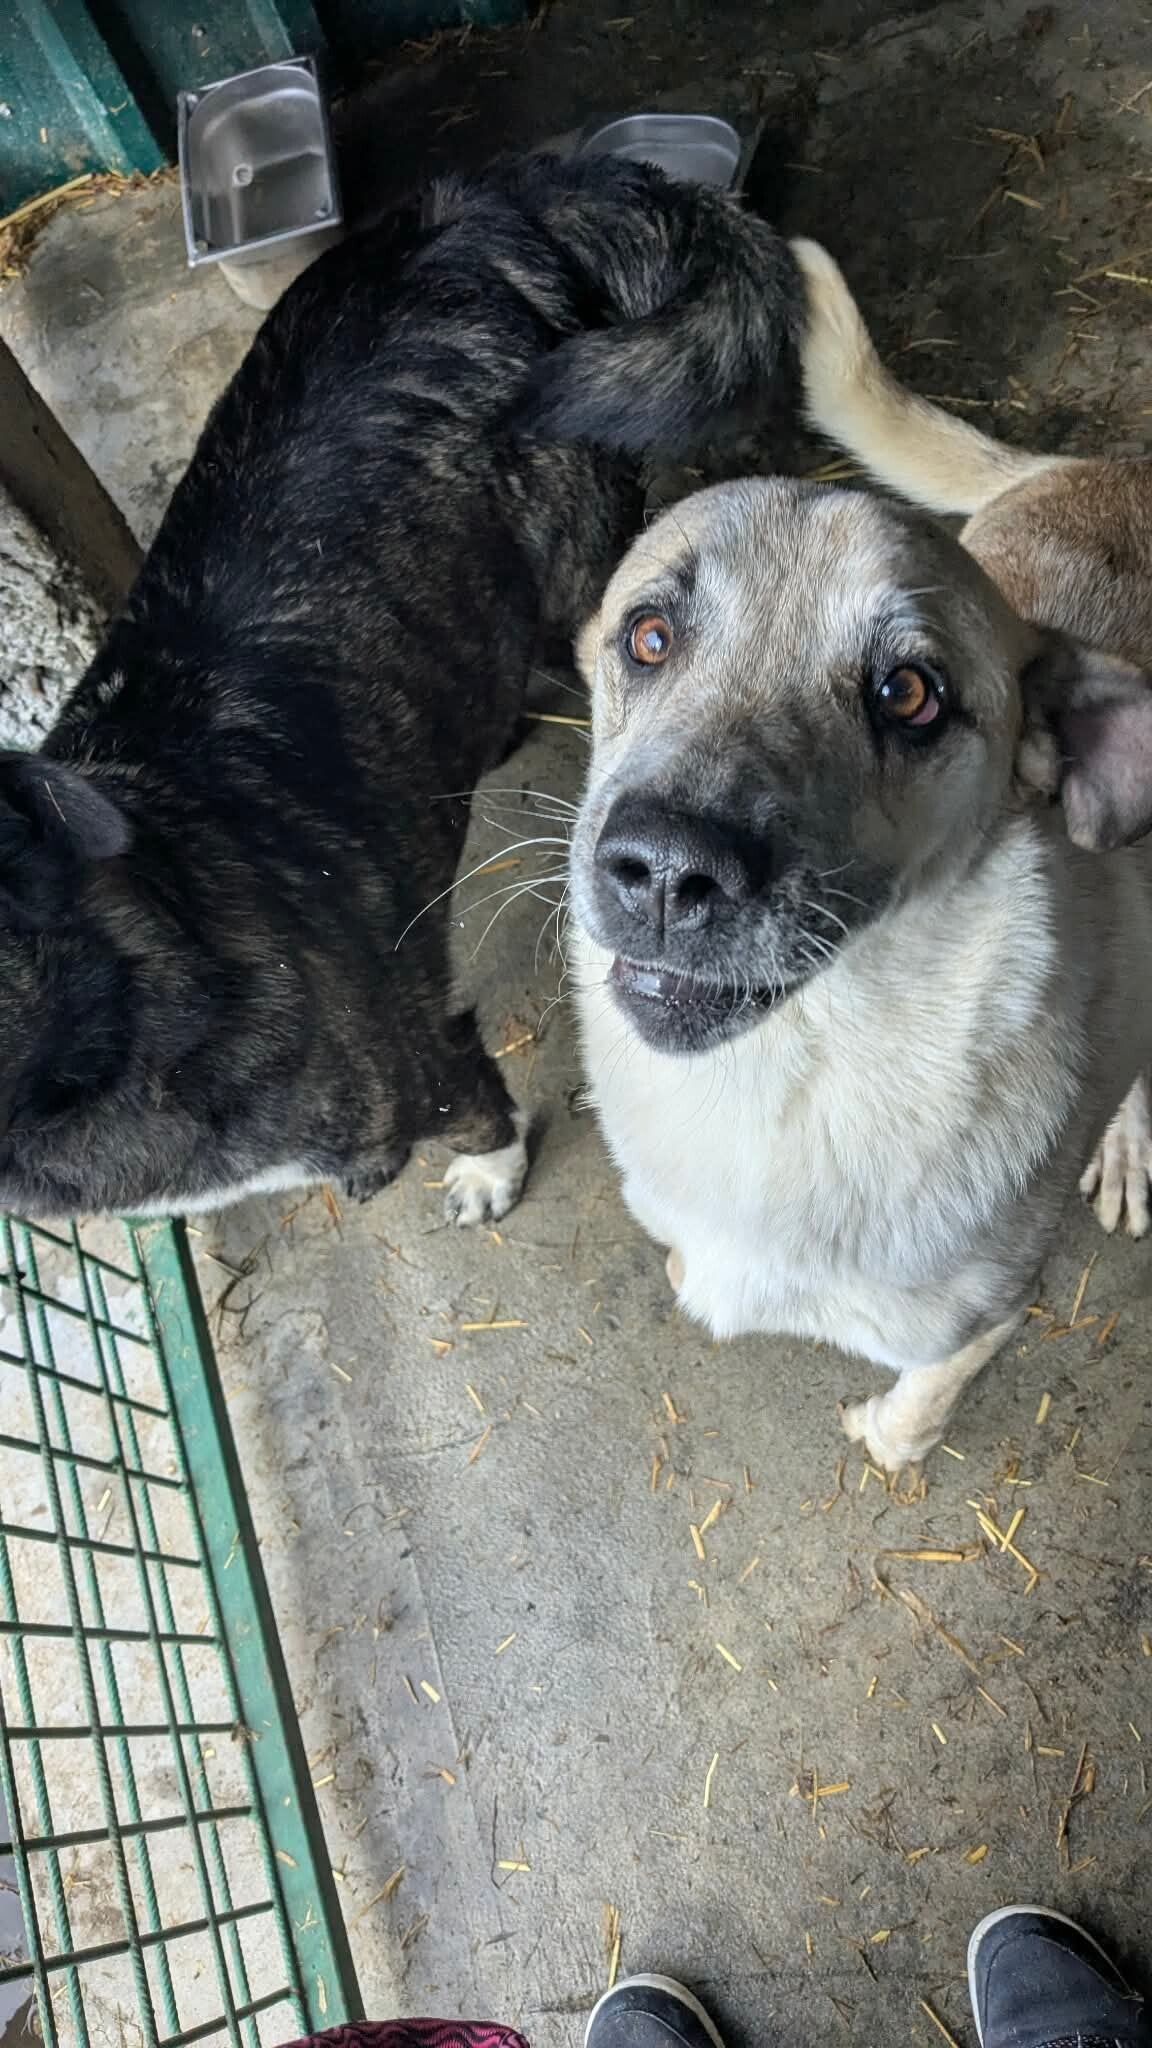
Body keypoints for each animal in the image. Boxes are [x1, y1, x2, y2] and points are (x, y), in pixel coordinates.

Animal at [567, 239, 1152, 1472]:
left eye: (908, 693)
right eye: (648, 635)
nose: (666, 871)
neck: (792, 1080)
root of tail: (1115, 465)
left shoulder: (983, 1319)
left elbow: (913, 1419)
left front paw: (886, 1430)